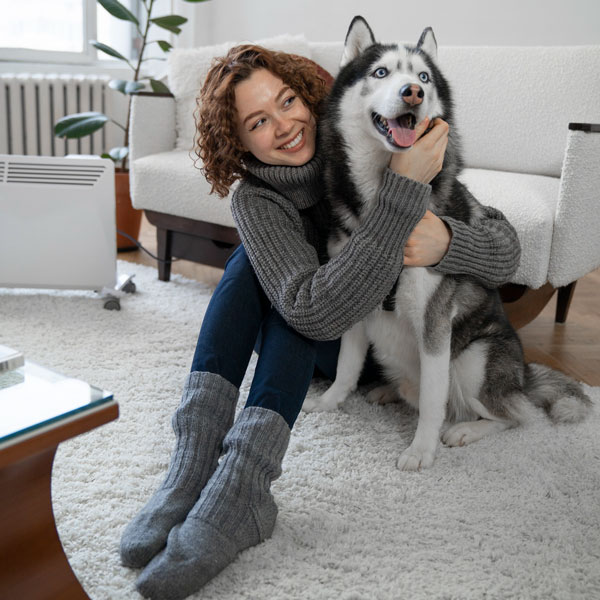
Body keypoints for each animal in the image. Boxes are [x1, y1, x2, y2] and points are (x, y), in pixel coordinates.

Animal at [302, 16, 592, 472]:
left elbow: (434, 400)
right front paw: (330, 402)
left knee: (514, 415)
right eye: (381, 72)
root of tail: (524, 375)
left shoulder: (435, 323)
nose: (413, 93)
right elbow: (347, 368)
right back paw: (389, 390)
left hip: (474, 359)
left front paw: (421, 450)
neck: (388, 200)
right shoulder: (352, 300)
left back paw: (465, 429)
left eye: (423, 77)